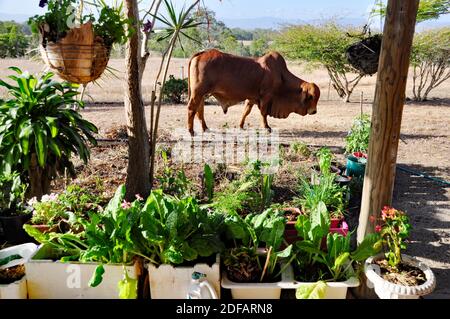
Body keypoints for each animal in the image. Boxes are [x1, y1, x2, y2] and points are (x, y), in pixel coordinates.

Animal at [186, 48, 320, 135]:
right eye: (311, 97)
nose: (314, 111)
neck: (281, 75)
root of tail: (201, 53)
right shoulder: (266, 96)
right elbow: (263, 113)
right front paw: (266, 127)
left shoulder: (251, 98)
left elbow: (246, 112)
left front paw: (241, 126)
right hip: (198, 92)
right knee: (192, 108)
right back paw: (191, 131)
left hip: (202, 94)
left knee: (200, 110)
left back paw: (205, 128)